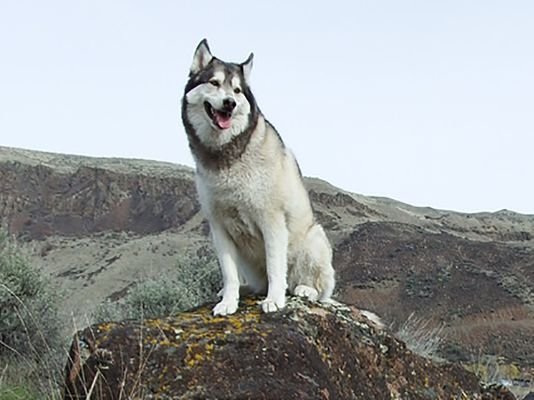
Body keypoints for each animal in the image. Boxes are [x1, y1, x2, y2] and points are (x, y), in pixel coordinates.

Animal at [181, 39, 335, 316]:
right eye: (214, 83)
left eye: (237, 90)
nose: (229, 103)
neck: (226, 157)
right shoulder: (219, 227)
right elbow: (229, 274)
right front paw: (228, 301)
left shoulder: (271, 220)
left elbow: (275, 268)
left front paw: (274, 300)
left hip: (314, 239)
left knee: (317, 288)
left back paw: (305, 290)